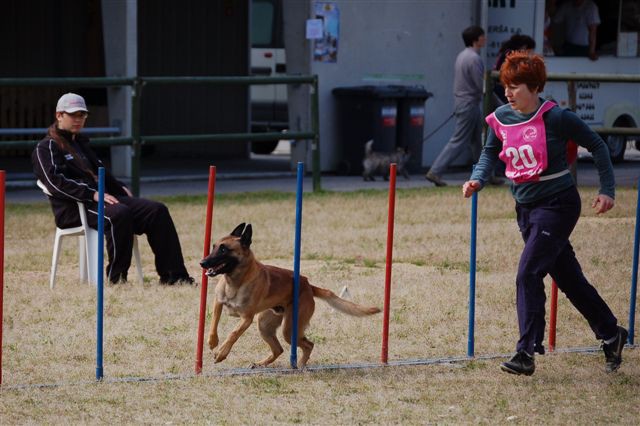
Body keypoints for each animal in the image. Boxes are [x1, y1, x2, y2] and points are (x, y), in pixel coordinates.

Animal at [200, 225, 380, 368]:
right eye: (214, 246)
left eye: (224, 249)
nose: (202, 263)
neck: (235, 282)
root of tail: (308, 284)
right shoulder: (218, 302)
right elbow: (213, 322)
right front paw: (213, 341)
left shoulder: (246, 319)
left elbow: (233, 334)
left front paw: (221, 353)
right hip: (265, 325)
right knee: (279, 349)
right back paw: (261, 364)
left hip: (288, 329)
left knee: (308, 344)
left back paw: (299, 365)